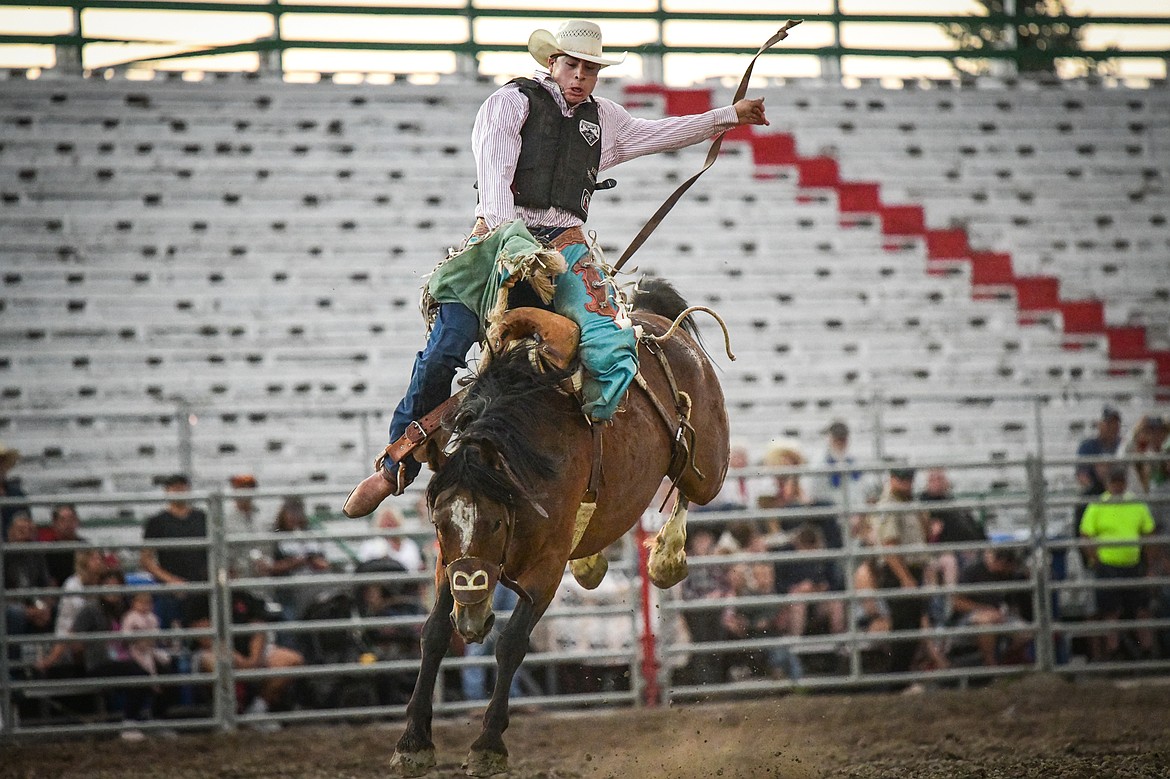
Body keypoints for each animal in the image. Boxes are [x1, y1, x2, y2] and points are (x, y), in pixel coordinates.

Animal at [388, 279, 725, 771]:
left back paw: (666, 556)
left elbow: (511, 643)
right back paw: (590, 564)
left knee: (688, 480)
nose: (471, 613)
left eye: (494, 523)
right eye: (440, 522)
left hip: (710, 469)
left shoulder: (545, 570)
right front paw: (413, 741)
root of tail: (656, 322)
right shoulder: (444, 565)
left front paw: (488, 744)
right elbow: (432, 635)